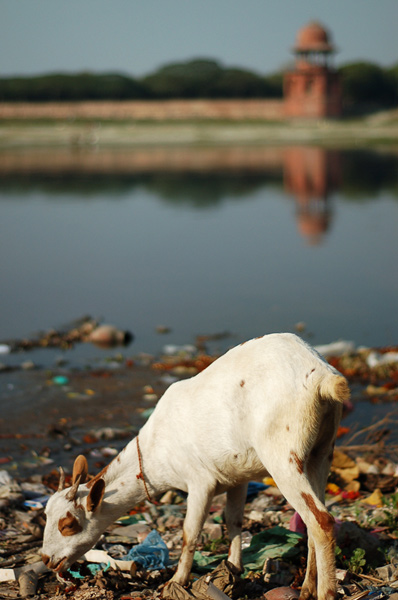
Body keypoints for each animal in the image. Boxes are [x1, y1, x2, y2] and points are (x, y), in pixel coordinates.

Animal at [41, 336, 348, 596]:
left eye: (68, 524)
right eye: (46, 515)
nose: (46, 559)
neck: (154, 450)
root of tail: (322, 377)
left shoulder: (200, 481)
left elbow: (190, 533)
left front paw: (177, 581)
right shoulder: (238, 478)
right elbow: (233, 520)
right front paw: (234, 568)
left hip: (281, 452)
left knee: (320, 520)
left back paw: (325, 592)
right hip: (322, 451)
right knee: (312, 518)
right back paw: (307, 587)